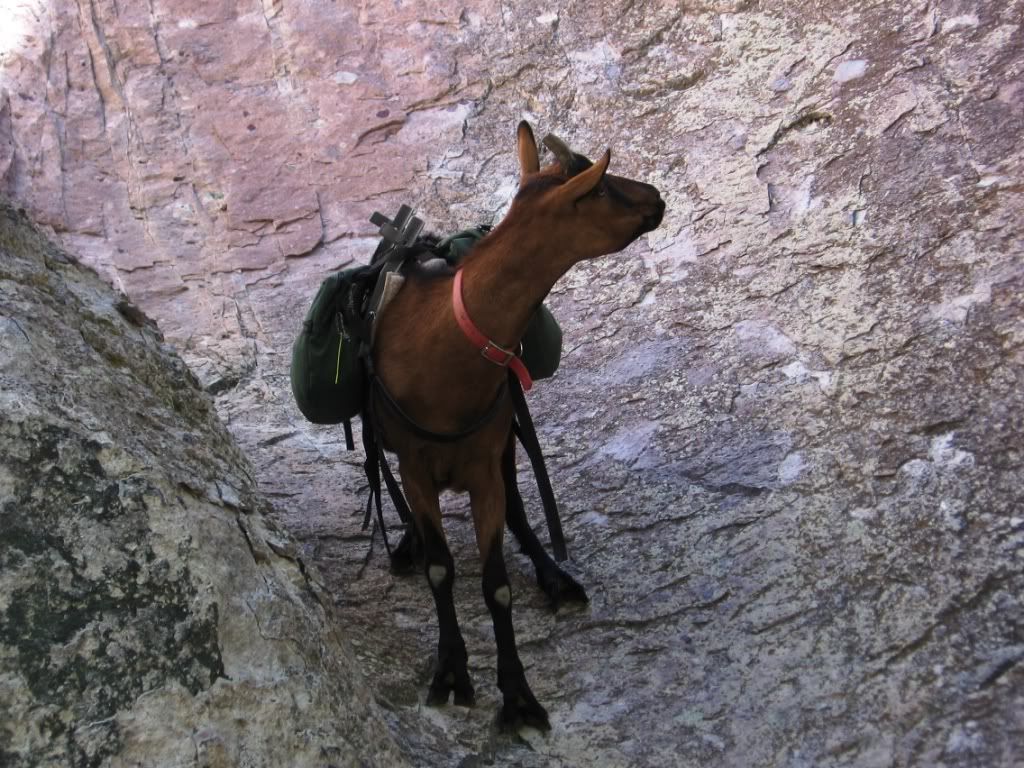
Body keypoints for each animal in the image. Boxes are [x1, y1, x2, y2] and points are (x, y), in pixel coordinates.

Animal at [371, 121, 665, 730]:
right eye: (600, 186)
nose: (656, 196)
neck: (445, 348)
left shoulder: (483, 467)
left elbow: (497, 583)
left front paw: (518, 696)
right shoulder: (414, 466)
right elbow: (441, 570)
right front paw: (451, 674)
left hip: (504, 437)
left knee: (519, 506)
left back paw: (555, 575)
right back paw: (408, 543)